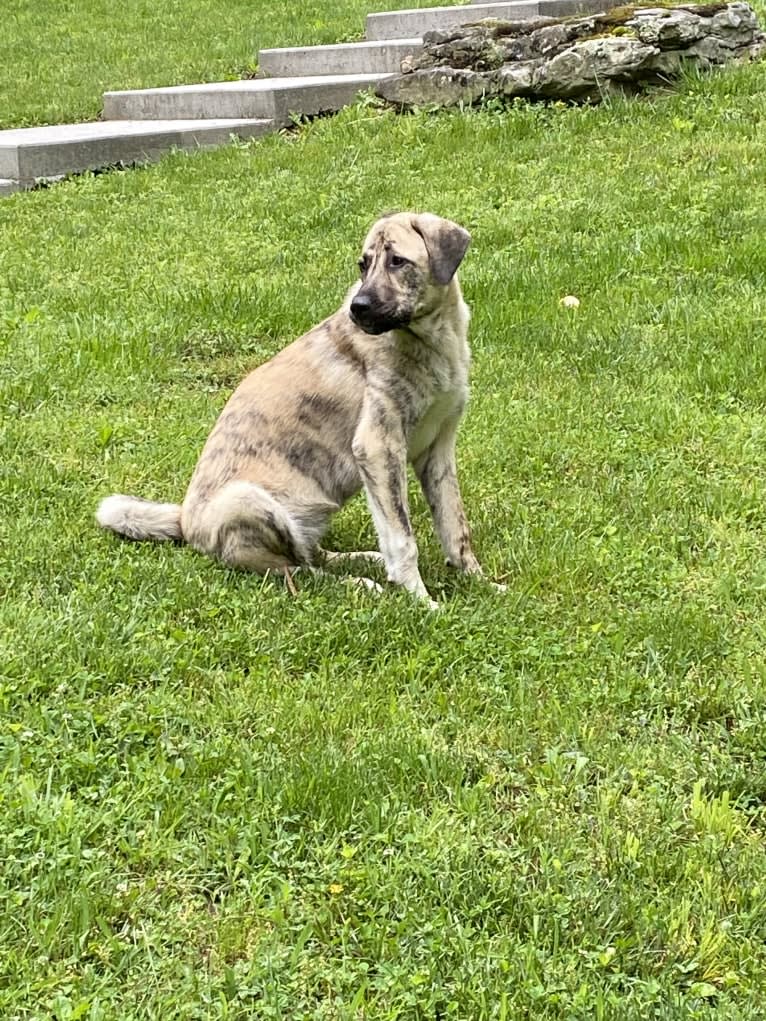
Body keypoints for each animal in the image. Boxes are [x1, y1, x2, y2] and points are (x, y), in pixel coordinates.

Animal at [94, 209, 498, 604]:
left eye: (398, 261)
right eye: (363, 264)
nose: (358, 309)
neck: (432, 338)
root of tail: (185, 522)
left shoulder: (437, 450)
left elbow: (455, 526)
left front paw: (480, 583)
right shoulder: (378, 447)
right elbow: (402, 537)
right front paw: (422, 601)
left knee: (309, 554)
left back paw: (364, 560)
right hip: (247, 500)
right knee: (297, 571)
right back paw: (360, 584)